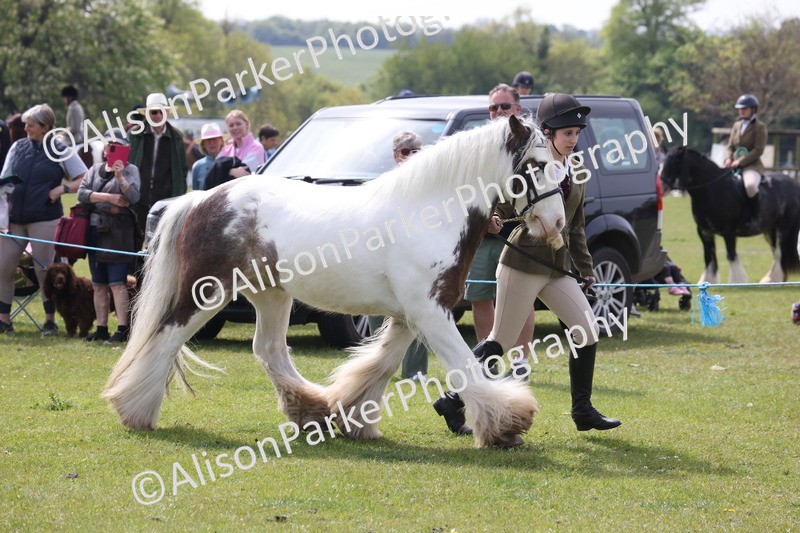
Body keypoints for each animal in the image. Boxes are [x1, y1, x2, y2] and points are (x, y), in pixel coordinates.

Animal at [102, 115, 567, 448]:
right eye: (538, 165)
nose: (557, 223)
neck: (428, 211)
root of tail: (202, 197)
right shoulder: (430, 313)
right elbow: (464, 364)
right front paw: (507, 424)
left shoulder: (410, 315)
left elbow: (381, 363)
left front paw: (352, 416)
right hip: (208, 292)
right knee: (165, 338)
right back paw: (136, 411)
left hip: (271, 295)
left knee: (268, 349)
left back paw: (313, 412)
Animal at [661, 146, 800, 283]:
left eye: (674, 164)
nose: (661, 188)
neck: (712, 190)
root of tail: (794, 184)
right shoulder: (704, 232)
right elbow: (709, 257)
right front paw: (708, 281)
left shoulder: (729, 233)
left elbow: (731, 256)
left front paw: (737, 282)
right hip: (770, 230)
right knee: (777, 253)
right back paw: (773, 279)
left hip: (783, 228)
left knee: (780, 252)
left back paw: (772, 279)